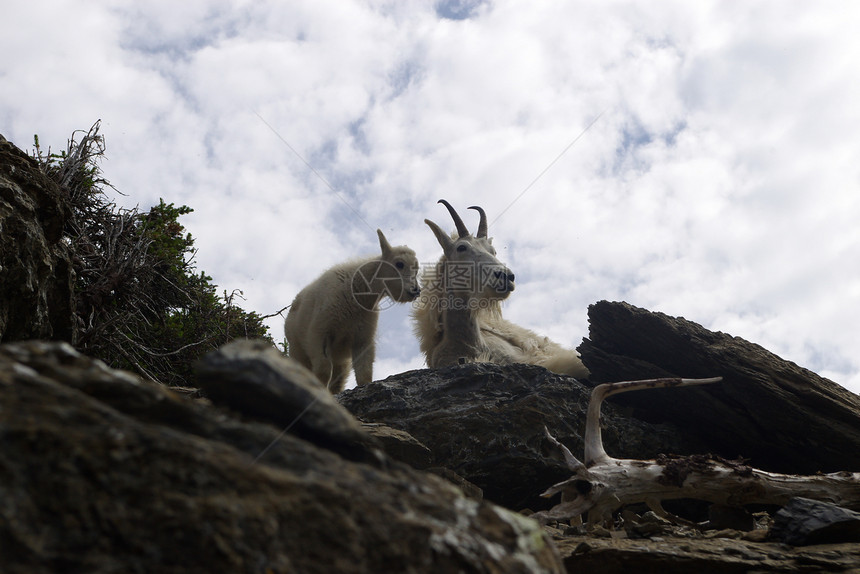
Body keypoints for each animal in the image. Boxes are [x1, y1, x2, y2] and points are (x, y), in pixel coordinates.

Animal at [286, 230, 420, 396]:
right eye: (399, 264)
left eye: (417, 269)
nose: (416, 291)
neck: (358, 293)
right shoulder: (319, 333)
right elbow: (324, 371)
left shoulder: (362, 339)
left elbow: (364, 373)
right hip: (297, 349)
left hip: (341, 361)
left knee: (337, 382)